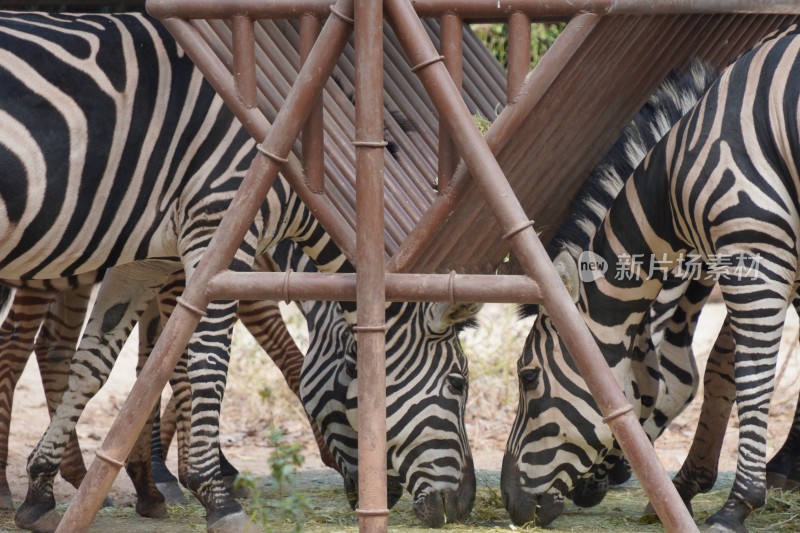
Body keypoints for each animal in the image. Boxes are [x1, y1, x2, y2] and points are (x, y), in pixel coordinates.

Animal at [0, 12, 476, 532]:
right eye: (458, 385)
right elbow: (205, 362)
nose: (464, 504)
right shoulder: (218, 230)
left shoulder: (143, 260)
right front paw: (216, 497)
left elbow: (95, 365)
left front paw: (41, 489)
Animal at [504, 21, 800, 532]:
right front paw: (693, 483)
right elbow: (722, 365)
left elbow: (750, 374)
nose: (508, 501)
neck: (672, 186)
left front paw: (736, 504)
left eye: (527, 377)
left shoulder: (755, 254)